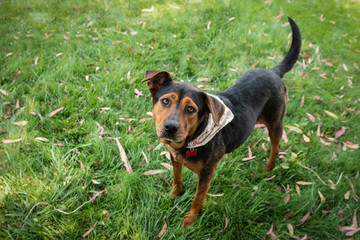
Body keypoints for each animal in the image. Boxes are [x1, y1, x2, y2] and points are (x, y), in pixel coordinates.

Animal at [142, 16, 300, 227]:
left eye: (191, 109)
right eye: (165, 101)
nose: (170, 127)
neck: (193, 139)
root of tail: (273, 72)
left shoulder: (206, 174)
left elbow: (197, 199)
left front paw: (189, 221)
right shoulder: (174, 159)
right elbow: (177, 180)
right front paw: (173, 197)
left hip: (275, 123)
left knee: (276, 146)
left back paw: (267, 170)